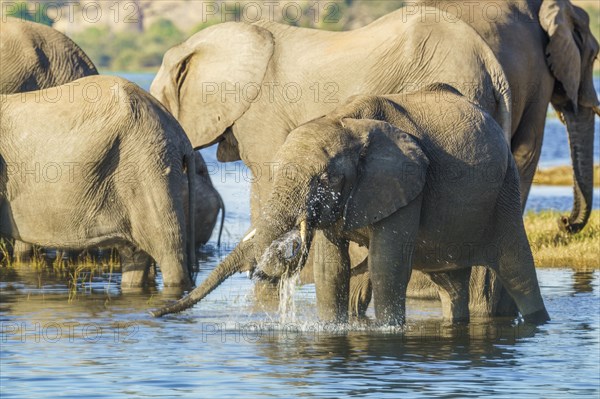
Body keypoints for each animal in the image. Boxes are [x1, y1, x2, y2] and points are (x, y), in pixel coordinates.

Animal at [152, 86, 552, 326]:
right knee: (449, 284)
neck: (347, 121)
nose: (157, 311)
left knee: (517, 267)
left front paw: (388, 332)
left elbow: (387, 264)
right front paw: (332, 329)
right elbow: (333, 267)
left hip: (505, 189)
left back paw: (538, 323)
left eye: (324, 180)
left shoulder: (408, 182)